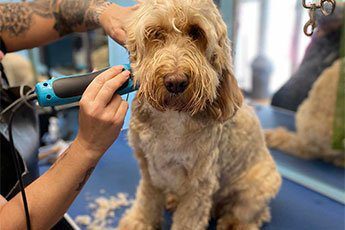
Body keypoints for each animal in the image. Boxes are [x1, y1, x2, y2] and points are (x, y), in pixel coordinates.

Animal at [119, 0, 282, 229]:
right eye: (156, 33)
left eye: (196, 32)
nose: (175, 82)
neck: (172, 118)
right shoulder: (149, 169)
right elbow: (147, 200)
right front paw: (139, 221)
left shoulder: (199, 185)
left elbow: (188, 220)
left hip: (257, 188)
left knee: (252, 214)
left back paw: (233, 221)